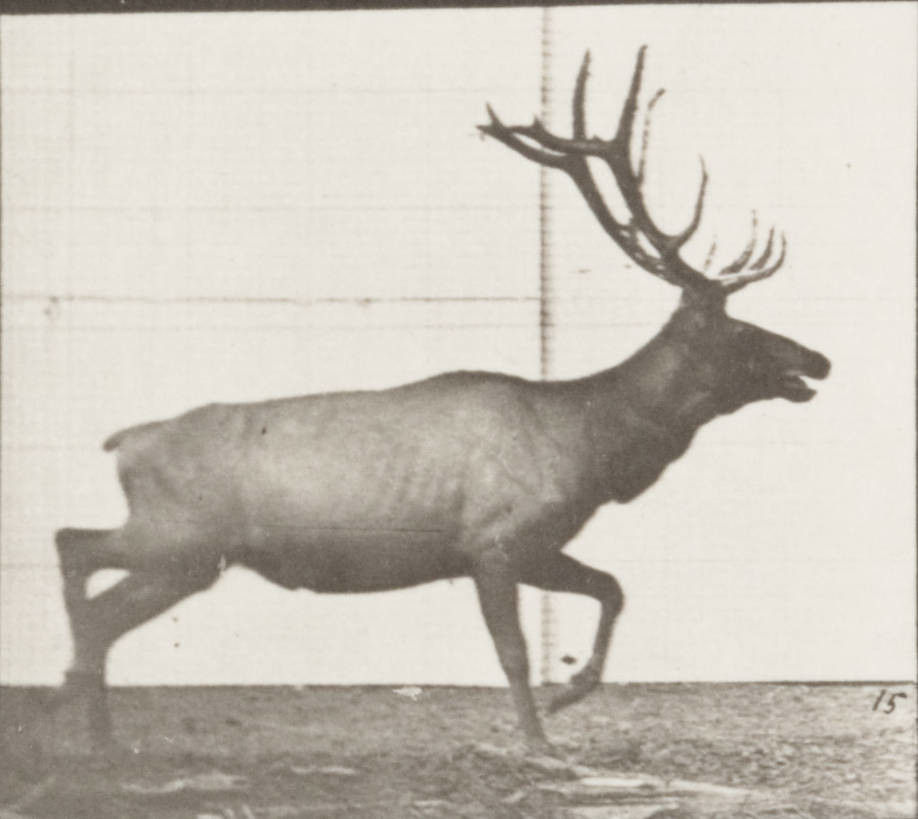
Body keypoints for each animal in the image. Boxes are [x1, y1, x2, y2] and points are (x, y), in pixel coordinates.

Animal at [52, 47, 828, 754]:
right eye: (741, 331)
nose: (816, 357)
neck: (592, 442)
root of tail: (125, 441)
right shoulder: (494, 540)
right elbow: (514, 650)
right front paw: (540, 740)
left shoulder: (536, 545)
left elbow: (612, 586)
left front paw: (570, 694)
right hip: (183, 537)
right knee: (73, 549)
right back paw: (80, 713)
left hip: (188, 554)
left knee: (94, 593)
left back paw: (97, 732)